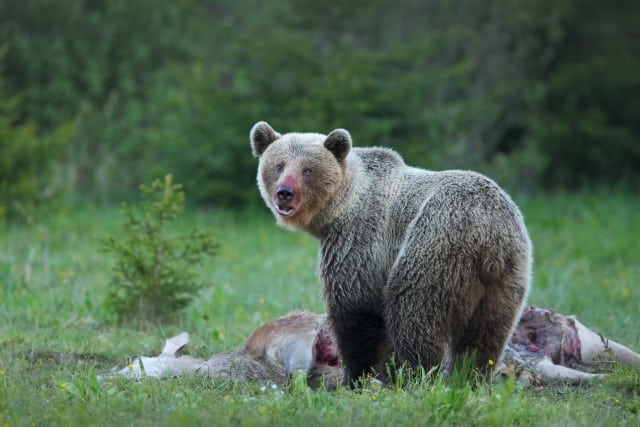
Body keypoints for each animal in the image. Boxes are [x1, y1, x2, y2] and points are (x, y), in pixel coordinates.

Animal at [248, 122, 532, 386]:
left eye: (307, 169)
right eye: (279, 165)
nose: (285, 193)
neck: (341, 206)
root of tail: (489, 235)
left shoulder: (359, 240)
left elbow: (356, 310)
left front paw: (356, 376)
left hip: (435, 246)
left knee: (413, 315)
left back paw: (417, 376)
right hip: (507, 279)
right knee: (485, 336)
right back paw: (468, 378)